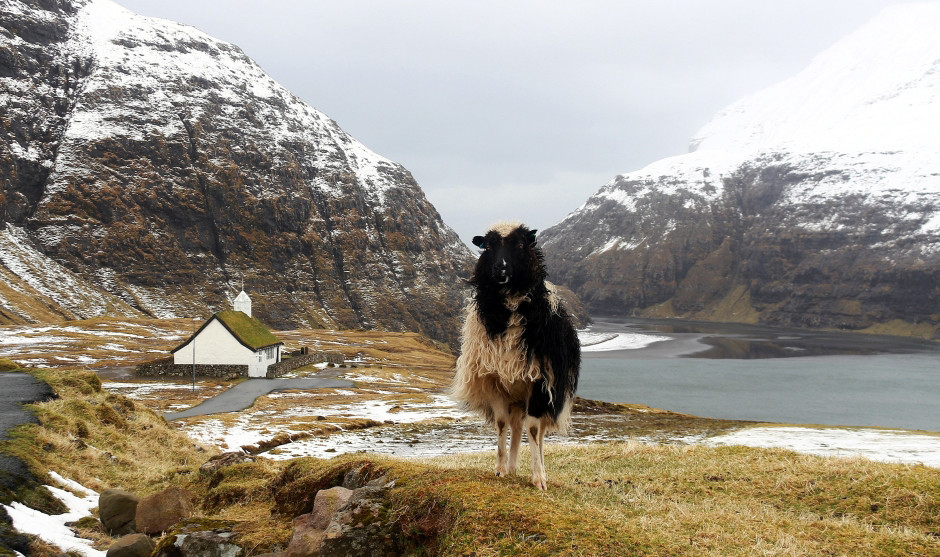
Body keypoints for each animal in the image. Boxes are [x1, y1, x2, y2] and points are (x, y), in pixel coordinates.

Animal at [450, 219, 580, 488]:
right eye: (488, 246)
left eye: (520, 244)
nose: (500, 268)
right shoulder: (495, 380)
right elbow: (502, 425)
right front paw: (500, 469)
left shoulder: (540, 382)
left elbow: (534, 430)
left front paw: (539, 478)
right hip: (516, 394)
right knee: (516, 426)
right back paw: (511, 467)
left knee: (538, 433)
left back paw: (538, 467)